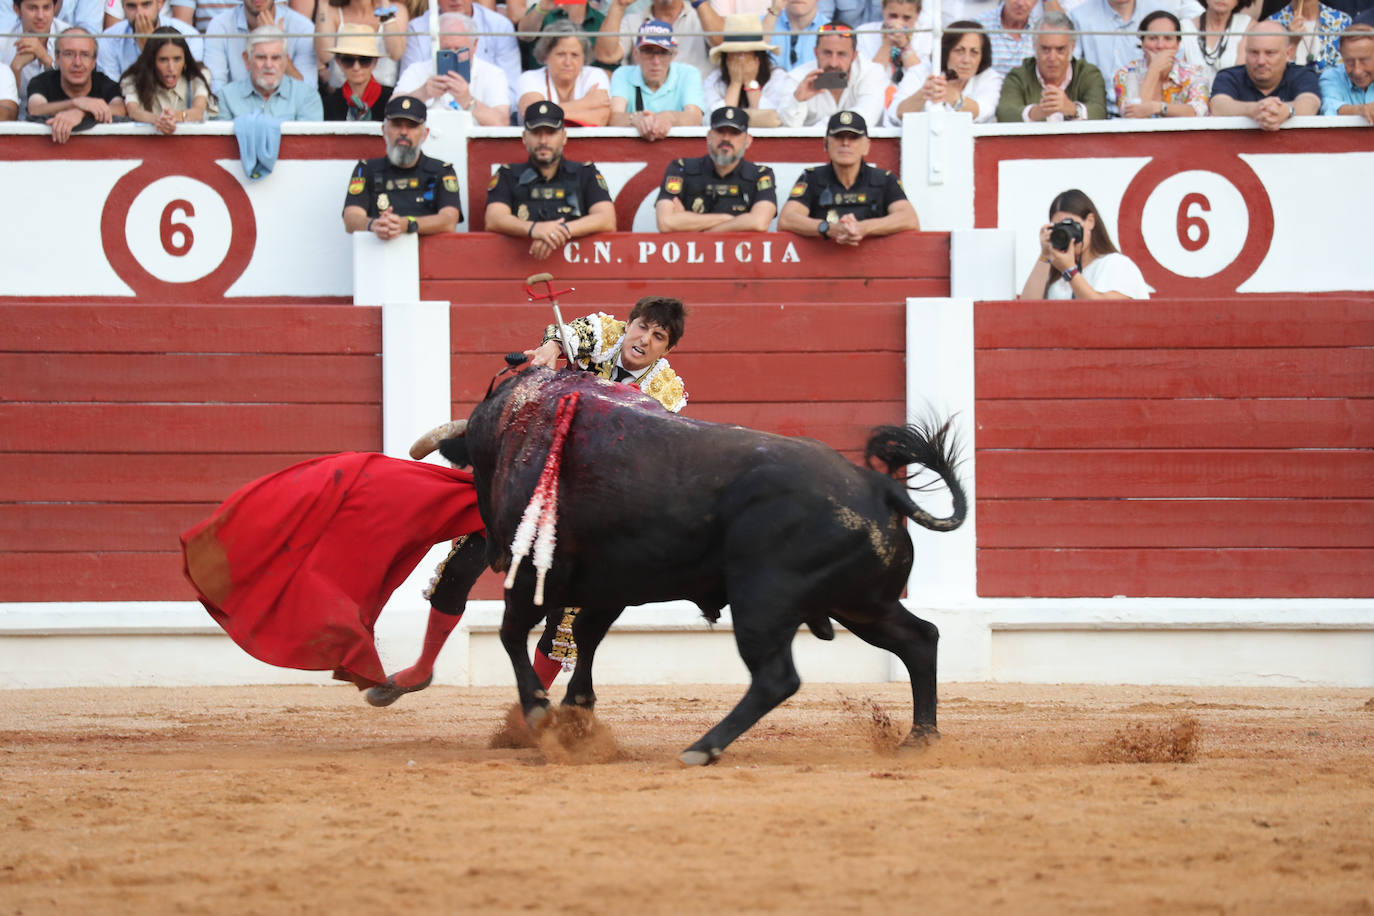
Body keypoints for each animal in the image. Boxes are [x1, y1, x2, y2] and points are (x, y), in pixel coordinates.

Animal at [439, 368, 967, 769]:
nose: (489, 551)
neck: (516, 426)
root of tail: (880, 486)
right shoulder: (610, 585)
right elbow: (585, 637)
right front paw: (576, 716)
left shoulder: (534, 575)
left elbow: (513, 633)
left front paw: (540, 712)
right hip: (861, 604)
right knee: (920, 640)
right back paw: (919, 739)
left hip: (764, 603)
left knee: (777, 678)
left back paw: (702, 748)